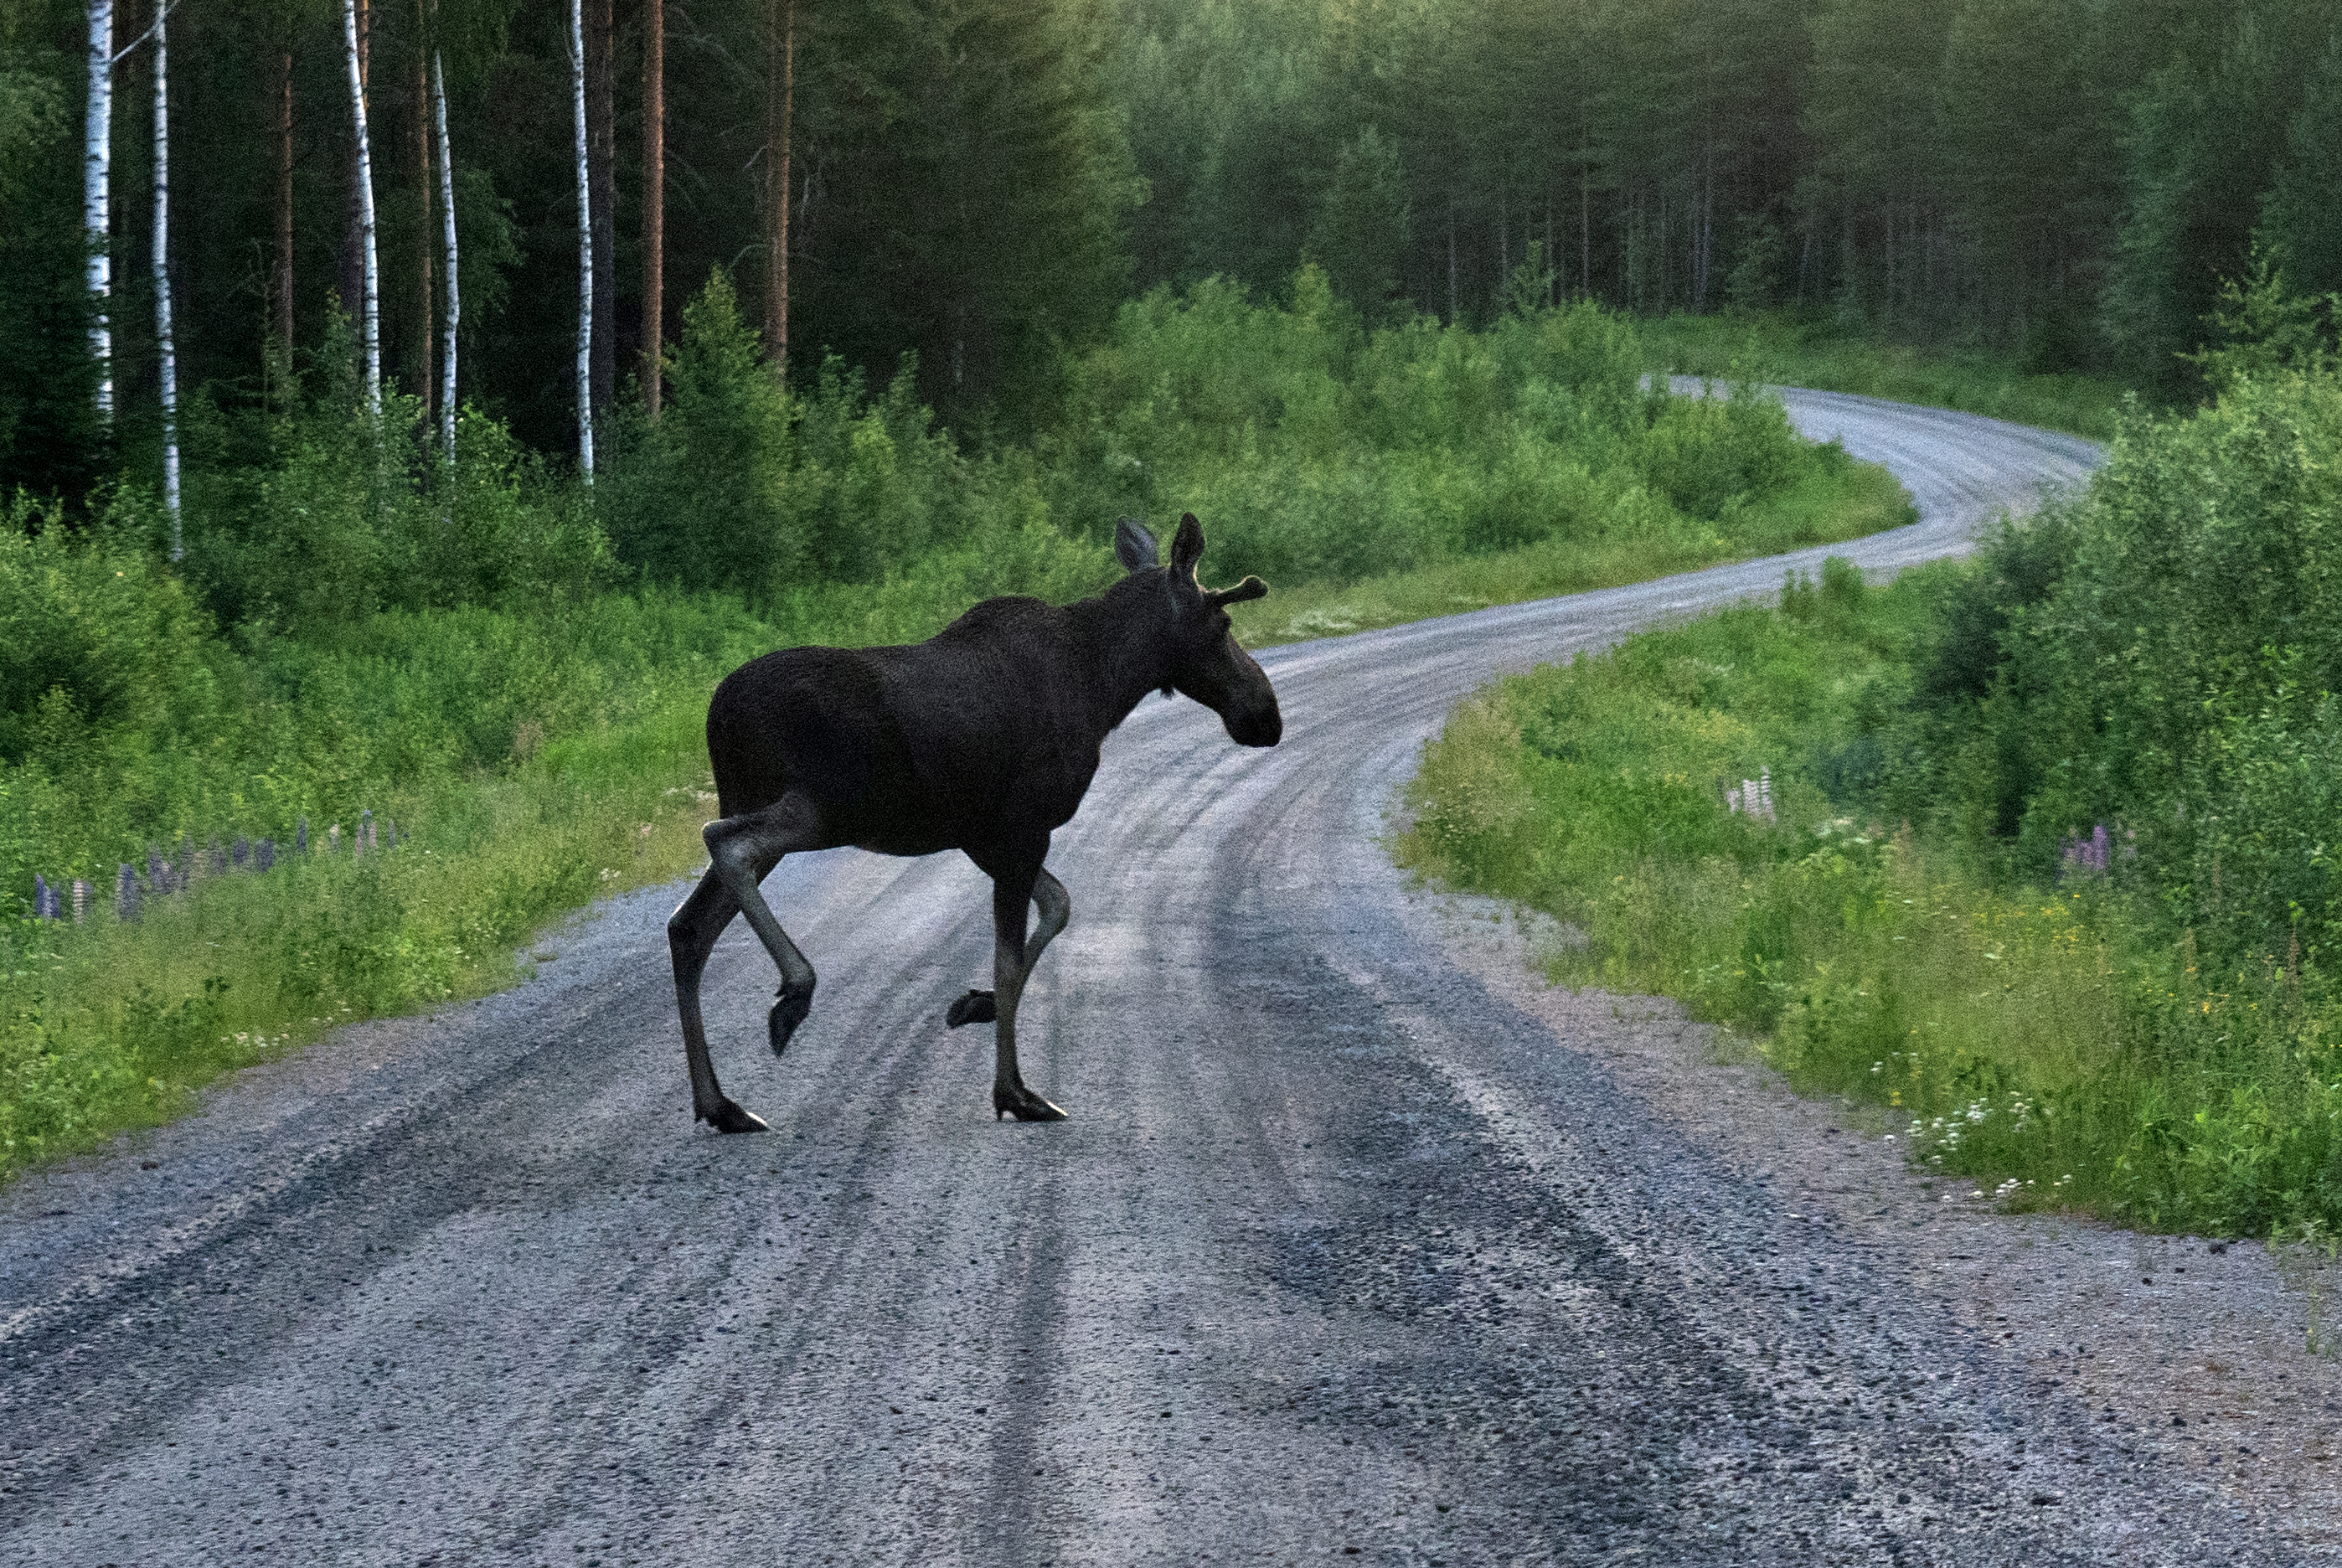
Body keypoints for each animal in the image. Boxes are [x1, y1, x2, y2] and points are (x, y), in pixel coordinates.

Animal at [666, 512, 1282, 1130]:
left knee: (689, 926)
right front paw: (1014, 1090)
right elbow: (1010, 956)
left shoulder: (982, 835)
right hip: (828, 809)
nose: (1267, 716)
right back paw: (795, 991)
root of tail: (718, 715)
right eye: (1223, 621)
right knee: (724, 843)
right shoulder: (1023, 824)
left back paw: (719, 1103)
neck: (1106, 683)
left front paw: (975, 1005)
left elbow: (1057, 908)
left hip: (769, 803)